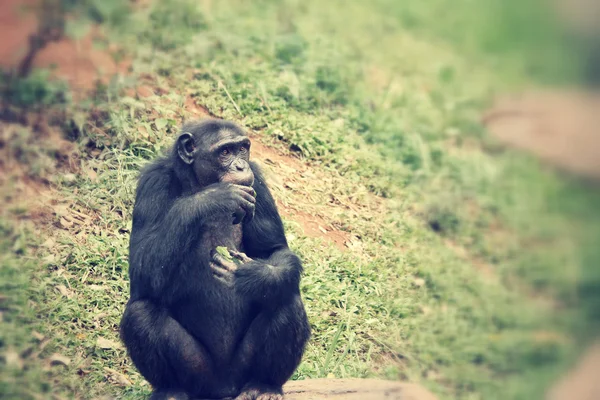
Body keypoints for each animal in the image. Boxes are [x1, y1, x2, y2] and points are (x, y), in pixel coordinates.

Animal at [120, 119, 312, 400]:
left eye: (242, 149)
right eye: (225, 152)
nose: (241, 166)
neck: (198, 181)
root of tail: (224, 388)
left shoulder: (258, 182)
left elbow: (274, 250)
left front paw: (252, 276)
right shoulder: (152, 183)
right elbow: (141, 268)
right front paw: (214, 197)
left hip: (241, 371)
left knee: (285, 299)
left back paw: (264, 385)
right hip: (199, 375)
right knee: (141, 313)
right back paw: (171, 391)